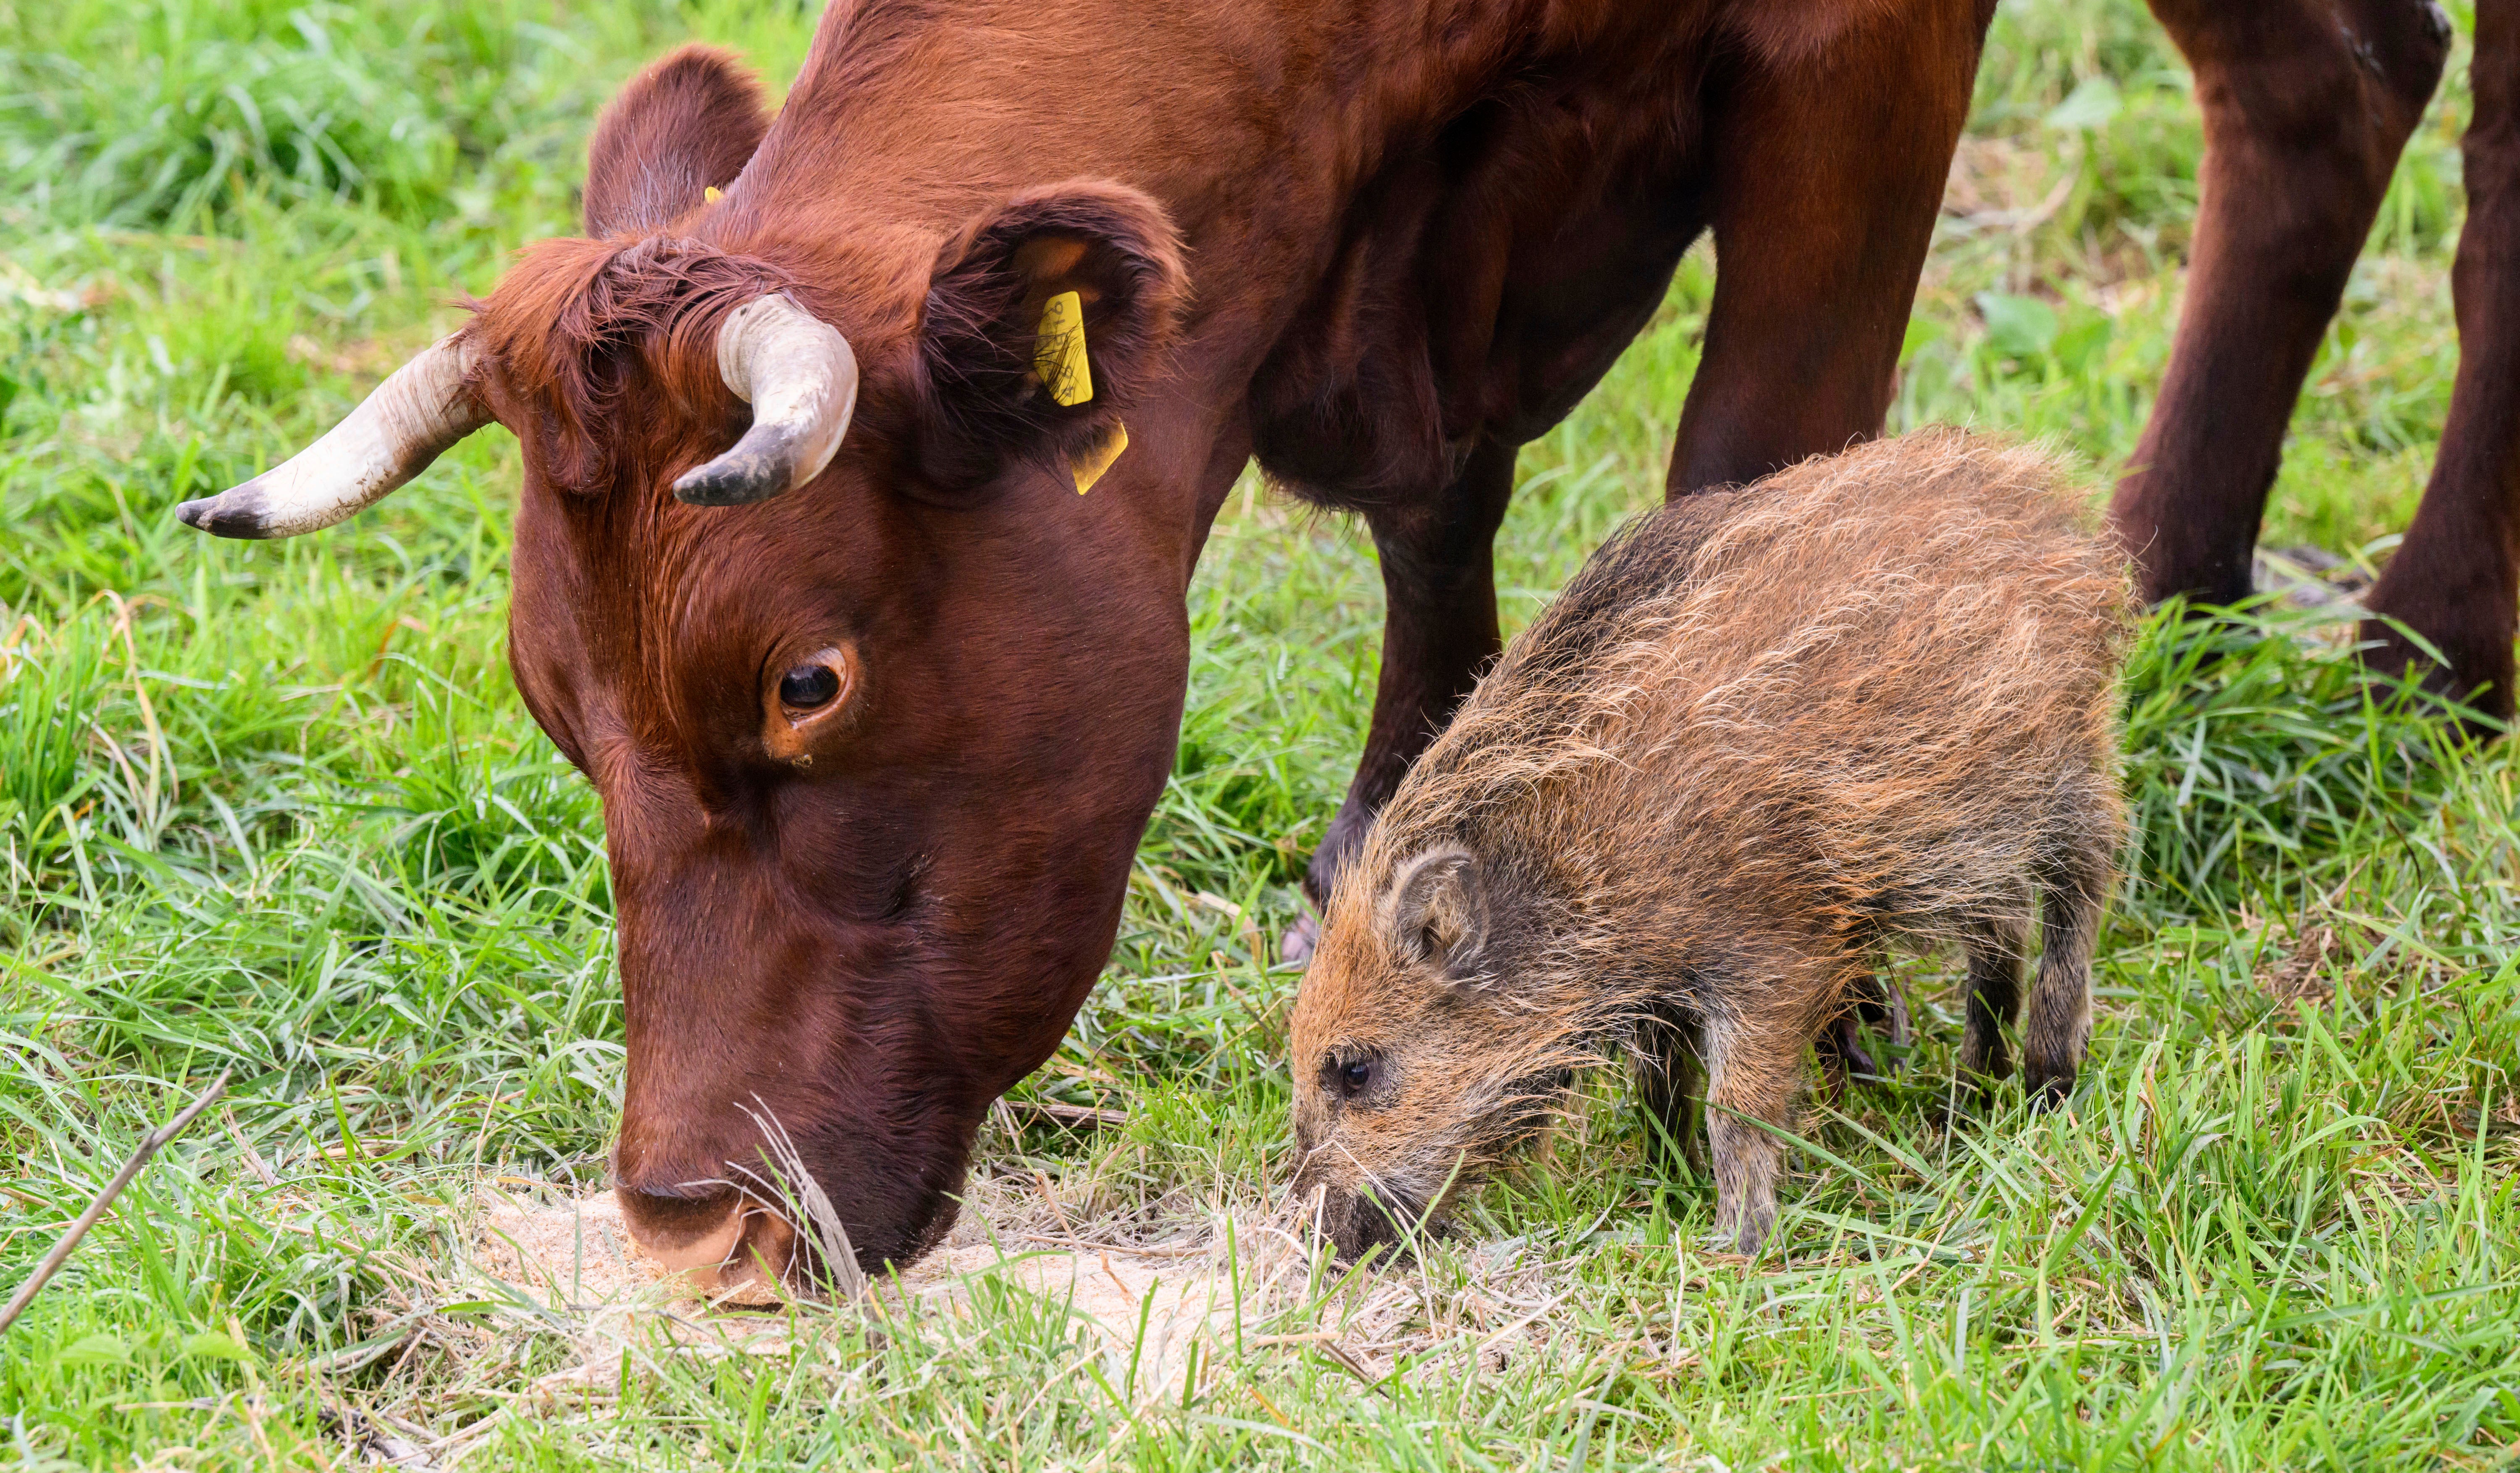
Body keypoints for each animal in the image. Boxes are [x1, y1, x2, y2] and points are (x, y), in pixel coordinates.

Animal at [1287, 430, 2133, 1259]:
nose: (1320, 1241)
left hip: (2066, 774)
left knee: (2083, 890)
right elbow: (1661, 1090)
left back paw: (2046, 1086)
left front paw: (1736, 1245)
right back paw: (1969, 1100)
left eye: (1354, 1069)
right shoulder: (1662, 987)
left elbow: (1738, 1107)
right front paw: (1665, 1189)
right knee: (2001, 936)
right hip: (1972, 846)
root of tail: (2056, 511)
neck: (1580, 863)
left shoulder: (1776, 955)